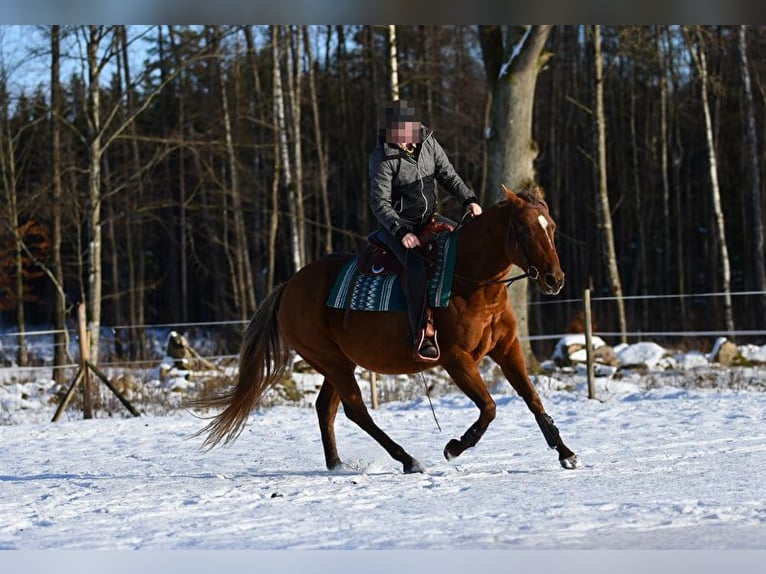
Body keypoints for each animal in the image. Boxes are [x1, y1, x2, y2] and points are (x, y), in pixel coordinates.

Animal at [192, 184, 578, 473]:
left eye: (552, 226)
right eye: (525, 229)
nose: (555, 279)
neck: (471, 281)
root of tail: (289, 286)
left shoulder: (507, 347)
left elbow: (532, 397)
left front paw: (565, 452)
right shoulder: (455, 359)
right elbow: (489, 406)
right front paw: (454, 447)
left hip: (338, 363)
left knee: (326, 407)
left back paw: (337, 465)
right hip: (331, 361)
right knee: (355, 410)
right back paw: (407, 459)